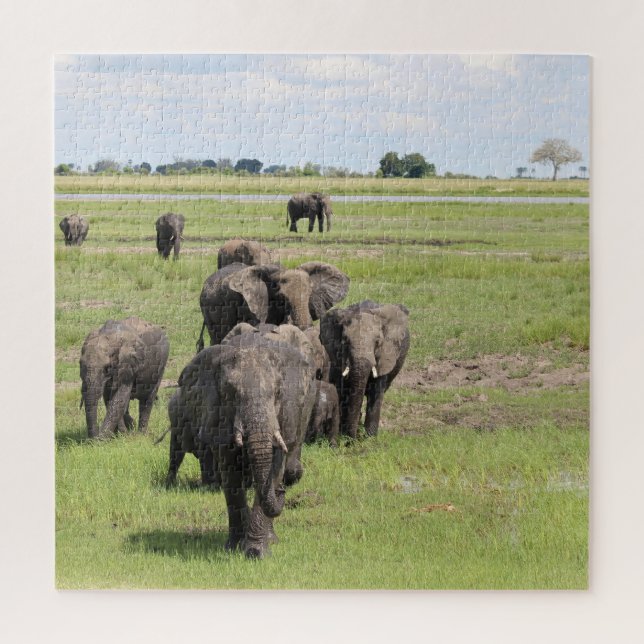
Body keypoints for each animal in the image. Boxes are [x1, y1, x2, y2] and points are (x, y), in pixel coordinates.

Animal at [165, 322, 317, 558]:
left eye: (277, 393)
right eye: (230, 393)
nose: (282, 492)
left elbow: (274, 468)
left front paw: (256, 552)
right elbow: (230, 475)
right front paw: (235, 546)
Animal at [320, 300, 410, 439]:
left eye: (378, 342)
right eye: (345, 341)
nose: (352, 439)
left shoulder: (385, 355)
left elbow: (376, 392)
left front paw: (370, 438)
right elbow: (344, 391)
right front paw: (345, 435)